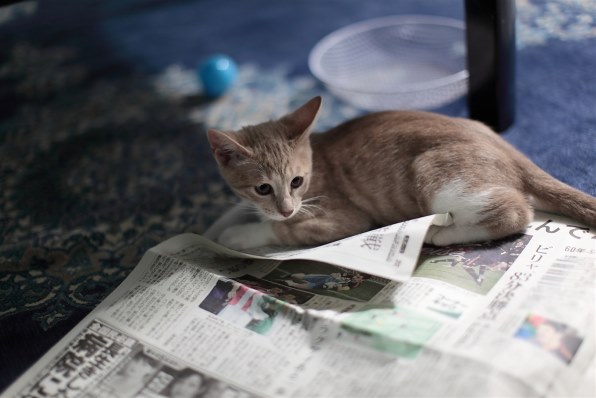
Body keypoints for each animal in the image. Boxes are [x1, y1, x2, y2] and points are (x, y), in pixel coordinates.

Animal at [207, 96, 596, 249]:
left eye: (296, 181)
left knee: (514, 211)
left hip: (433, 175)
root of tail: (511, 153)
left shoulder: (344, 219)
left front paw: (238, 235)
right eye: (262, 188)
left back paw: (438, 233)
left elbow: (283, 230)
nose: (287, 208)